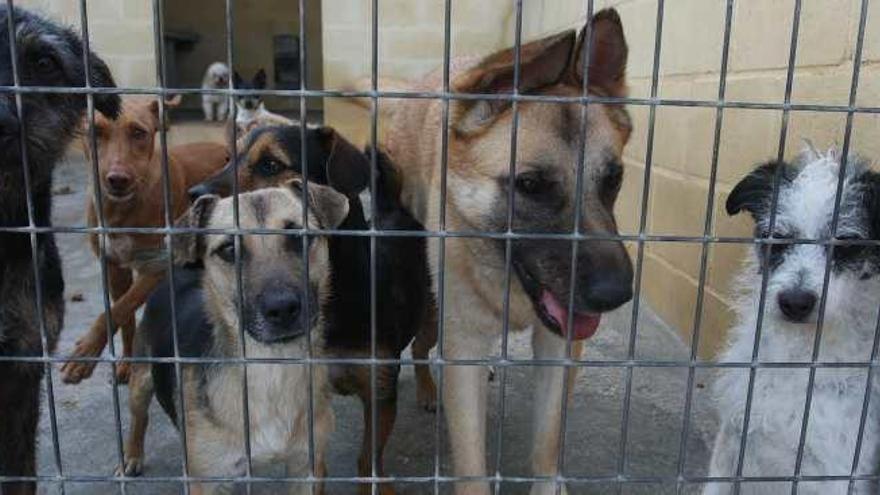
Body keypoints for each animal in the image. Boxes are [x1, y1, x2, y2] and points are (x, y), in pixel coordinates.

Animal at [125, 183, 346, 495]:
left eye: (297, 237)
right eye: (229, 249)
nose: (282, 308)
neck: (272, 368)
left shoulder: (307, 468)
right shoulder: (204, 480)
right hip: (140, 377)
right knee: (138, 415)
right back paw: (132, 455)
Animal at [364, 8, 632, 495]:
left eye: (613, 179)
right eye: (531, 185)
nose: (616, 294)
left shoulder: (559, 347)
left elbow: (547, 441)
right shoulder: (464, 345)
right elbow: (472, 463)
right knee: (423, 349)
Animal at [704, 147, 880, 495]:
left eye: (846, 243)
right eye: (778, 237)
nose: (795, 303)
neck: (799, 354)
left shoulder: (832, 473)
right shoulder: (730, 443)